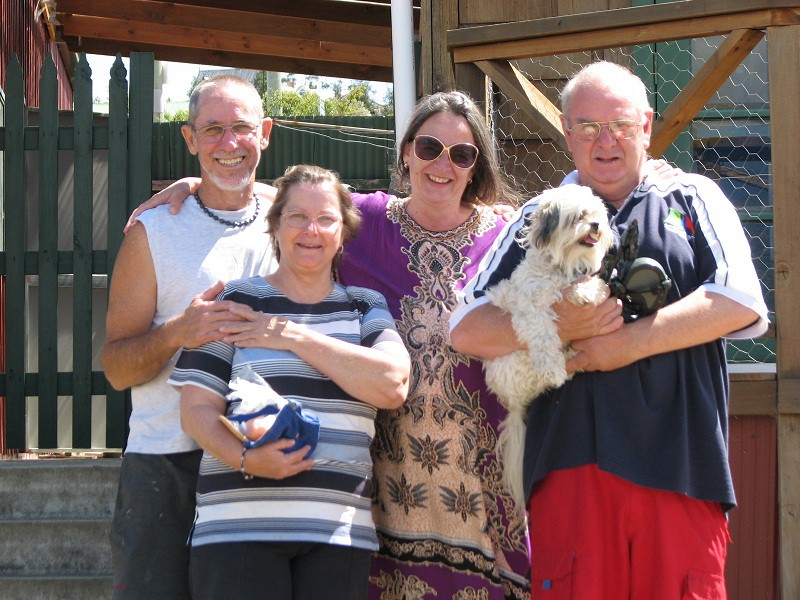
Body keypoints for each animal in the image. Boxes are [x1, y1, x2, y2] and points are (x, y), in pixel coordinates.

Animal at [484, 184, 614, 511]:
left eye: (596, 214)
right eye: (578, 216)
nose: (596, 225)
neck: (561, 268)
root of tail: (514, 402)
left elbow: (593, 284)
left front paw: (586, 293)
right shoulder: (531, 310)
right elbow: (543, 336)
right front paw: (552, 367)